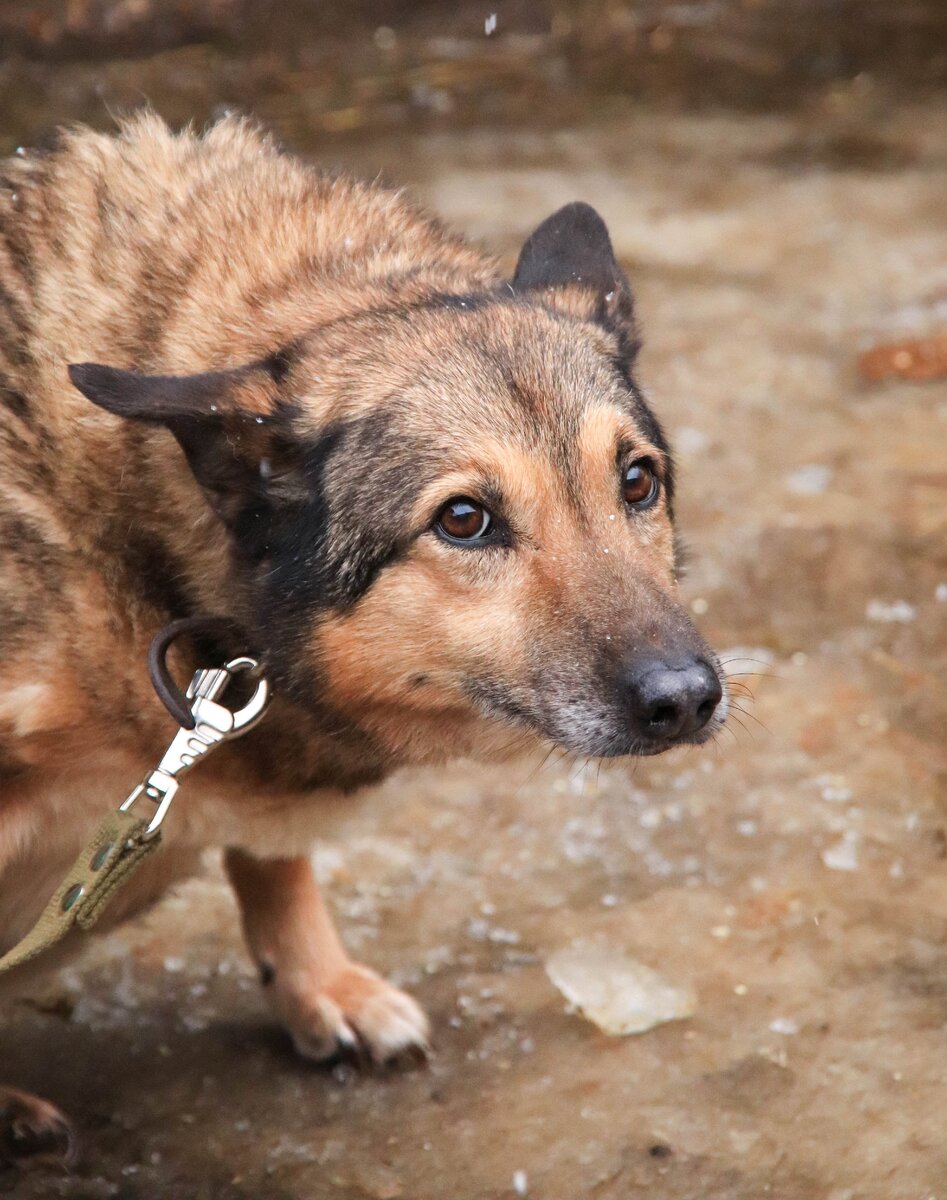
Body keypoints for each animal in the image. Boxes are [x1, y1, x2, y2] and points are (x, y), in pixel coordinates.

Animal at [0, 117, 724, 1166]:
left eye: (637, 481)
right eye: (463, 520)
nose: (687, 699)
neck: (127, 544)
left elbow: (274, 859)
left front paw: (319, 985)